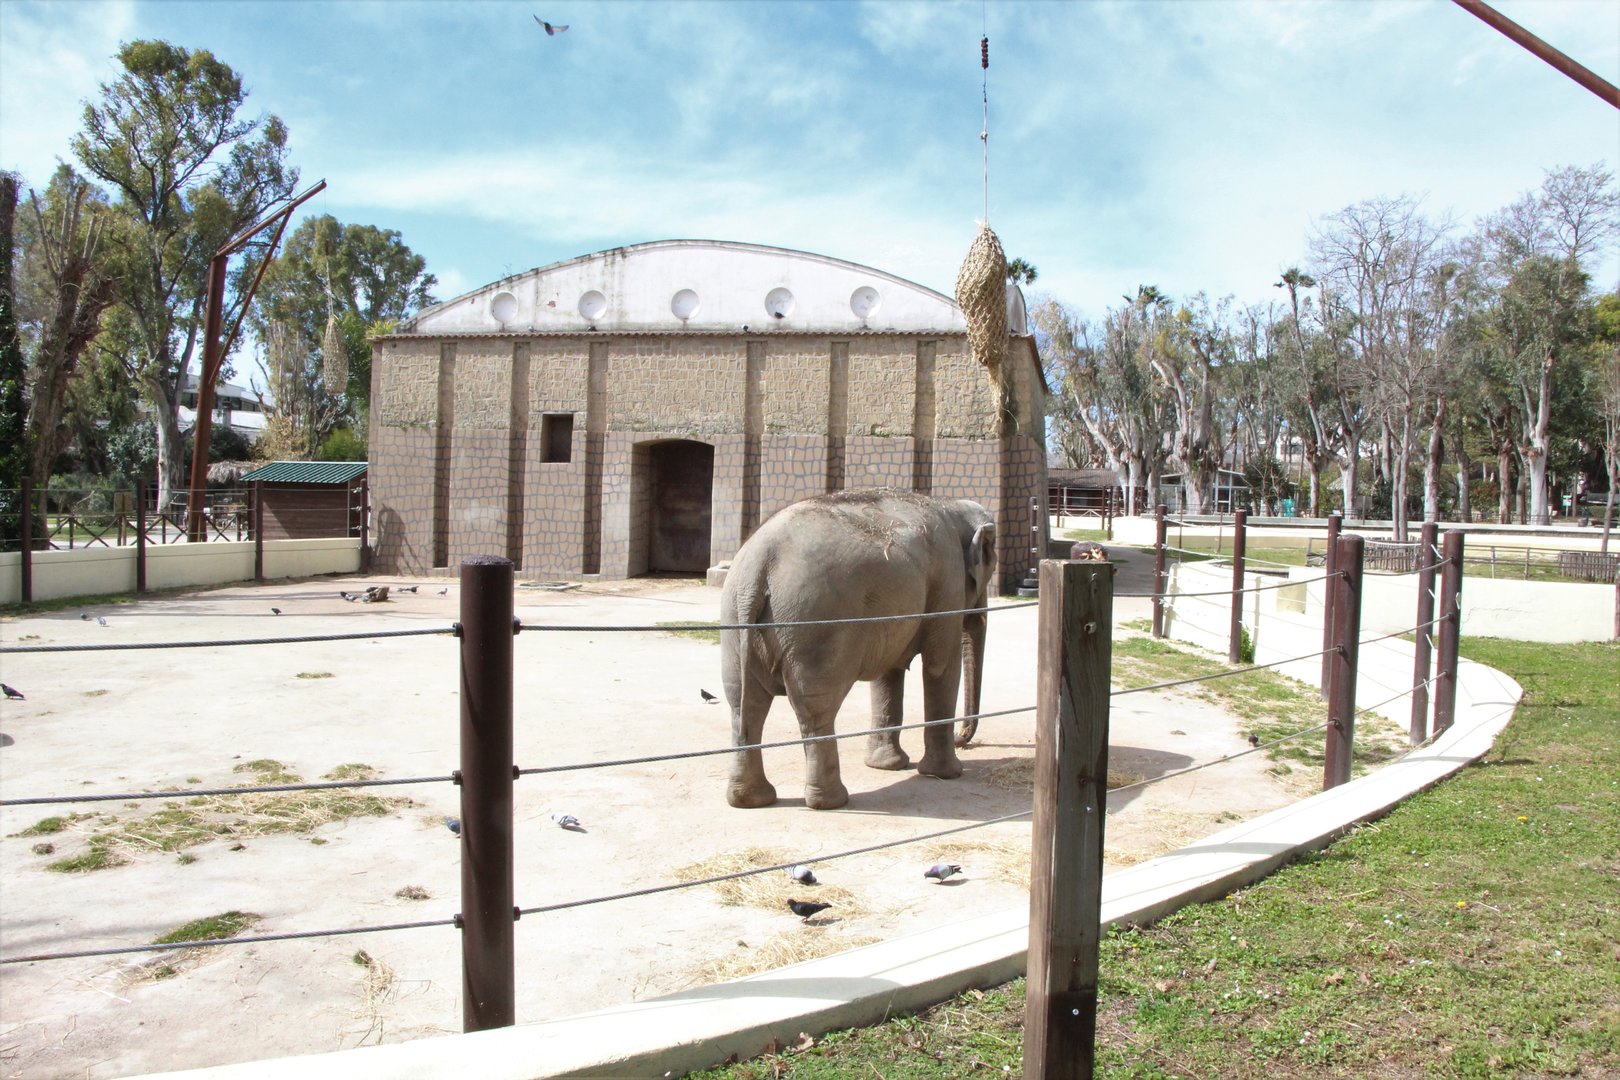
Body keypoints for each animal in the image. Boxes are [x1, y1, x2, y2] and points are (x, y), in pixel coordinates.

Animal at [720, 490, 997, 810]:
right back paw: (831, 801)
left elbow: (889, 671)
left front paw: (886, 766)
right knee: (815, 709)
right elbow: (940, 665)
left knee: (743, 704)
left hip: (735, 623)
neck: (950, 506)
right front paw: (947, 774)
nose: (963, 739)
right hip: (817, 625)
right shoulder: (948, 580)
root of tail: (758, 566)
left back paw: (750, 799)